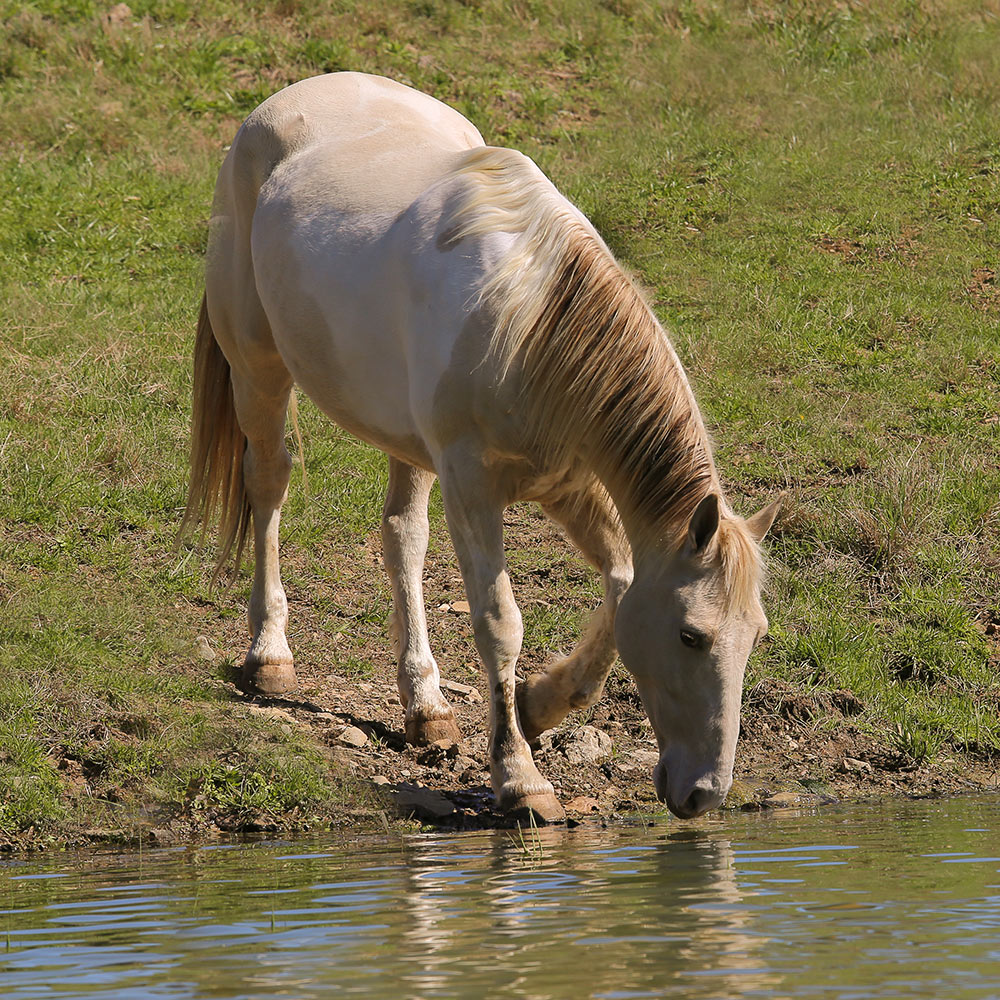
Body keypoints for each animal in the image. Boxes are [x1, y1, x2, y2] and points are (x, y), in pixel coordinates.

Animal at [186, 68, 780, 820]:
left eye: (755, 635)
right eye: (690, 635)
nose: (705, 793)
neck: (527, 321)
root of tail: (298, 94)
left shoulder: (569, 485)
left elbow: (620, 583)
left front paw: (537, 704)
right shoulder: (473, 485)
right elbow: (500, 621)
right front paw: (521, 778)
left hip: (407, 445)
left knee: (402, 538)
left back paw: (426, 706)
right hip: (259, 370)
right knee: (268, 485)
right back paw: (270, 656)